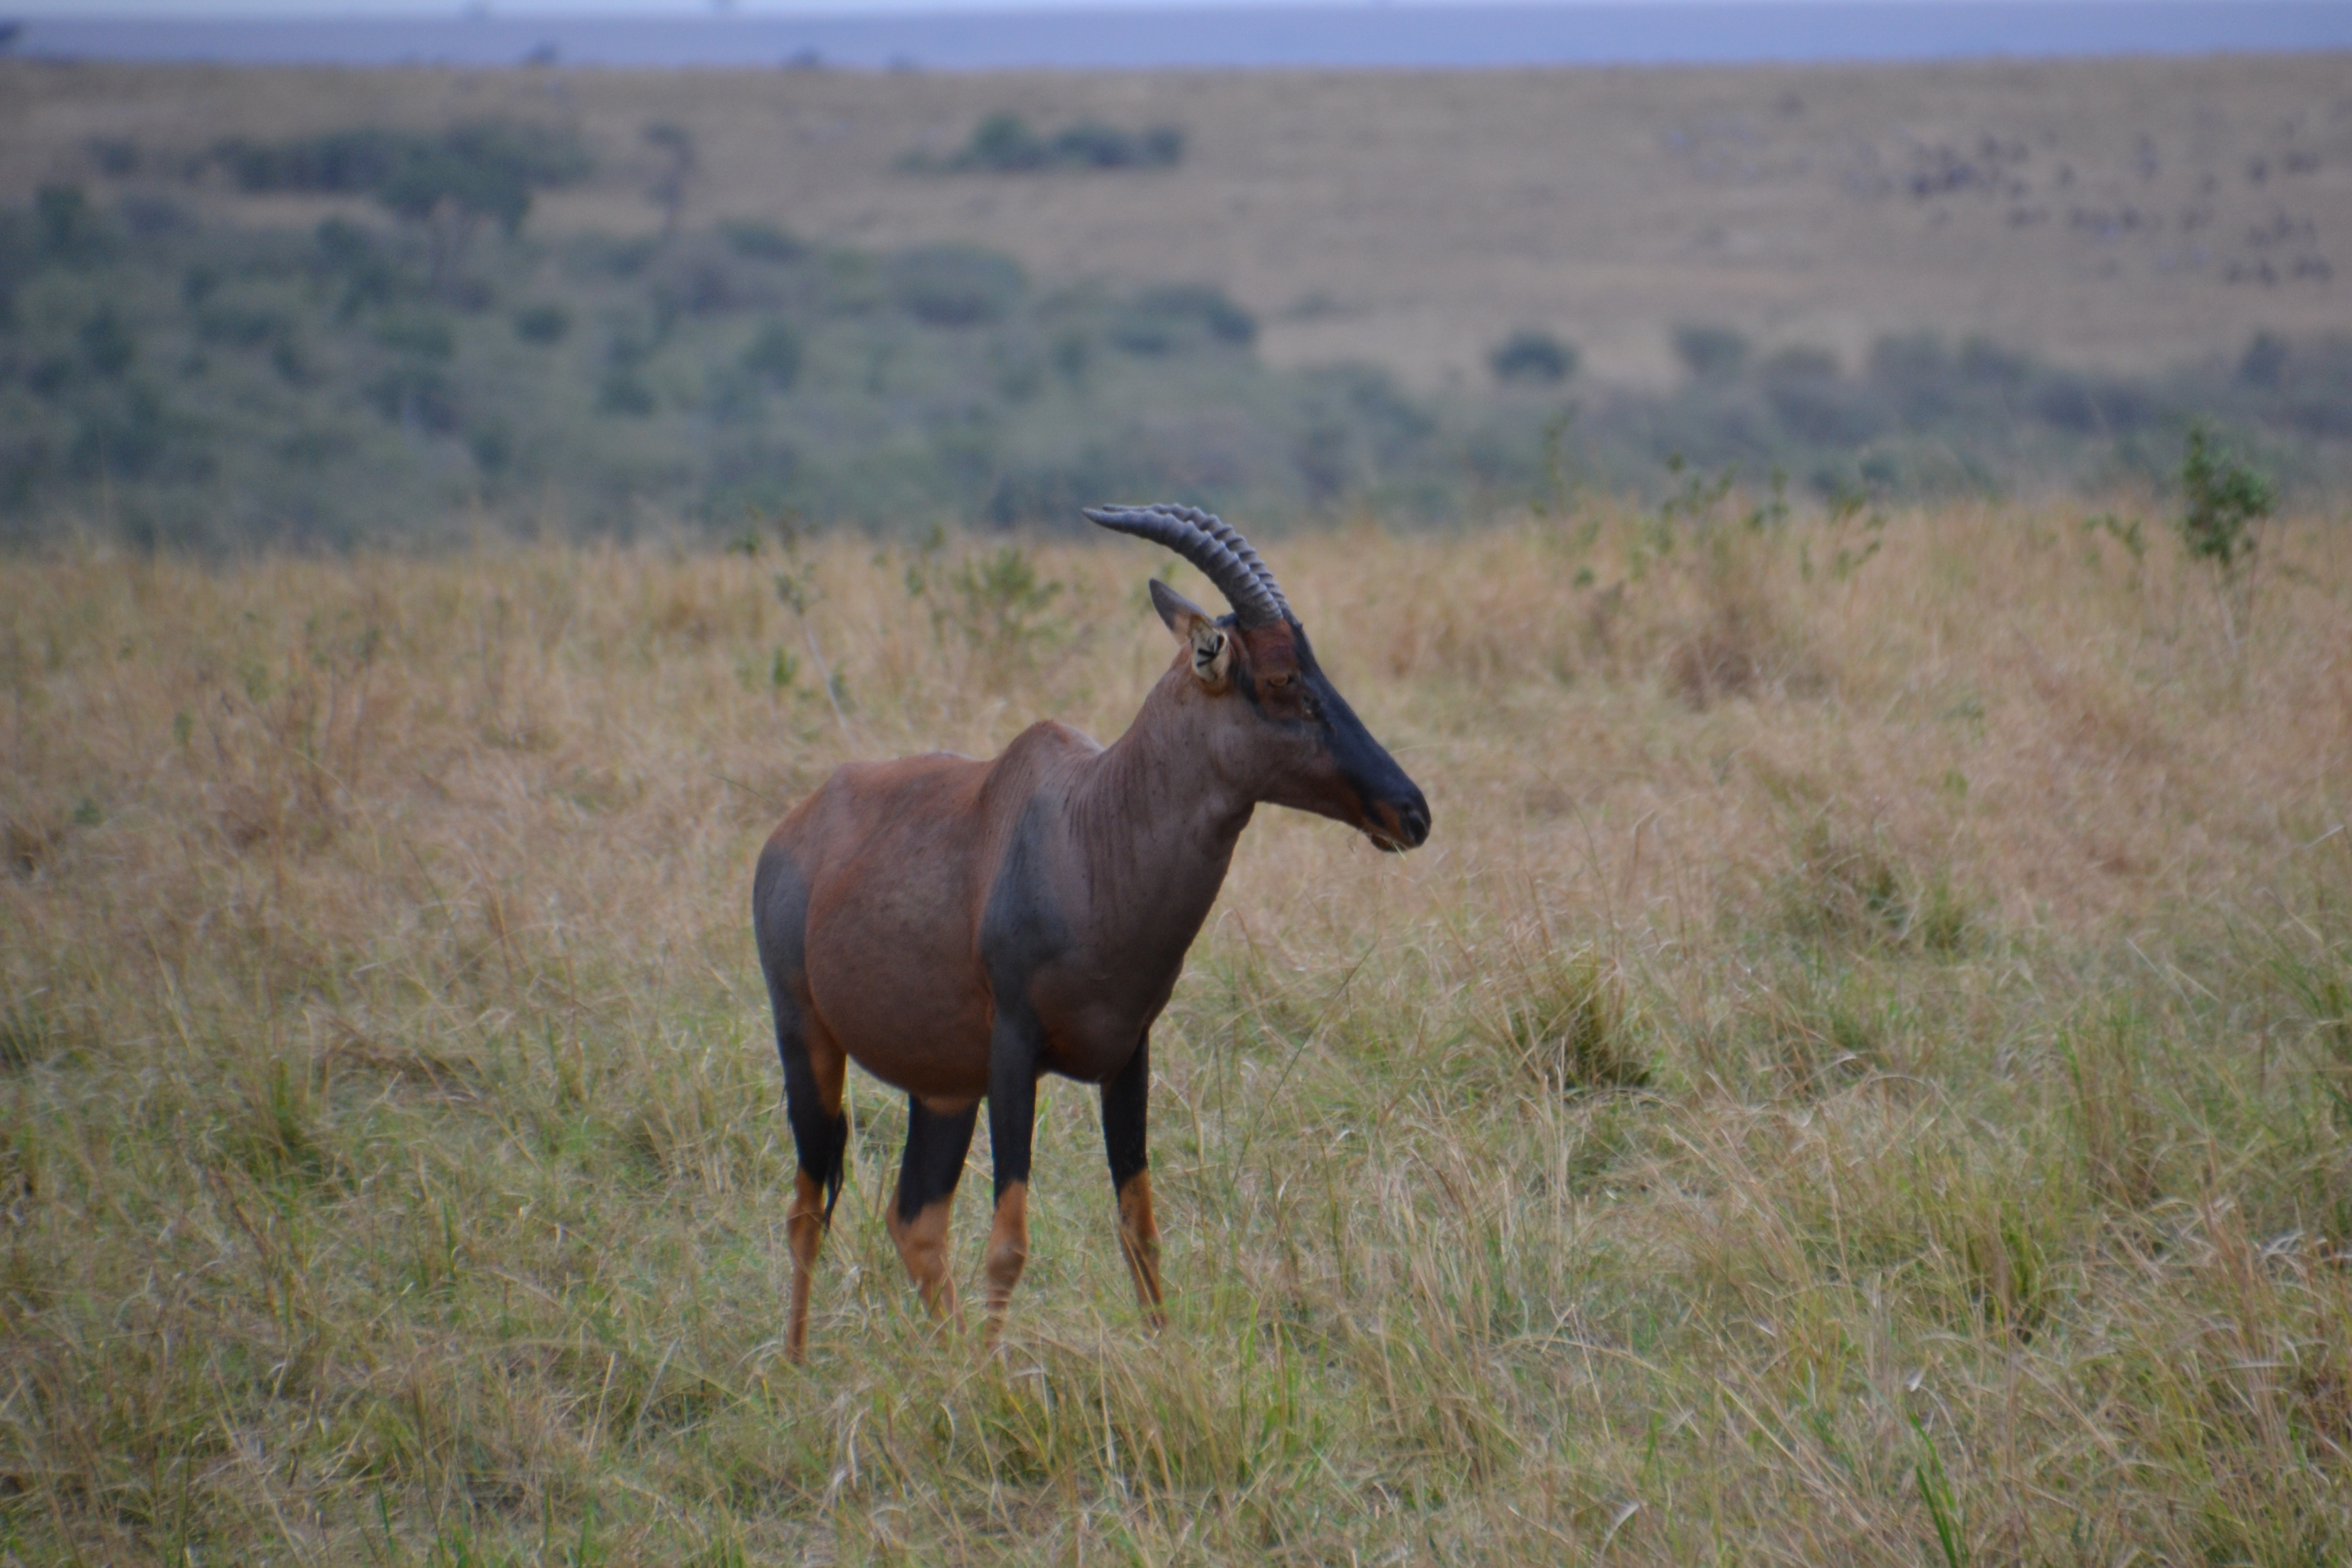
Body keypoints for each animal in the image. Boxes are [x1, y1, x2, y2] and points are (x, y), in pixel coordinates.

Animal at [752, 504, 1430, 1361]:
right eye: (1281, 678)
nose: (1411, 812)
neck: (1089, 822)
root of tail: (794, 828)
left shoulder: (1129, 1055)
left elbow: (1139, 1227)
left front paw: (1156, 1358)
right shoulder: (1013, 1054)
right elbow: (1009, 1240)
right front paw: (998, 1377)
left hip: (943, 1088)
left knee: (915, 1221)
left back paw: (943, 1364)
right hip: (809, 1042)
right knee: (808, 1210)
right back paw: (796, 1366)